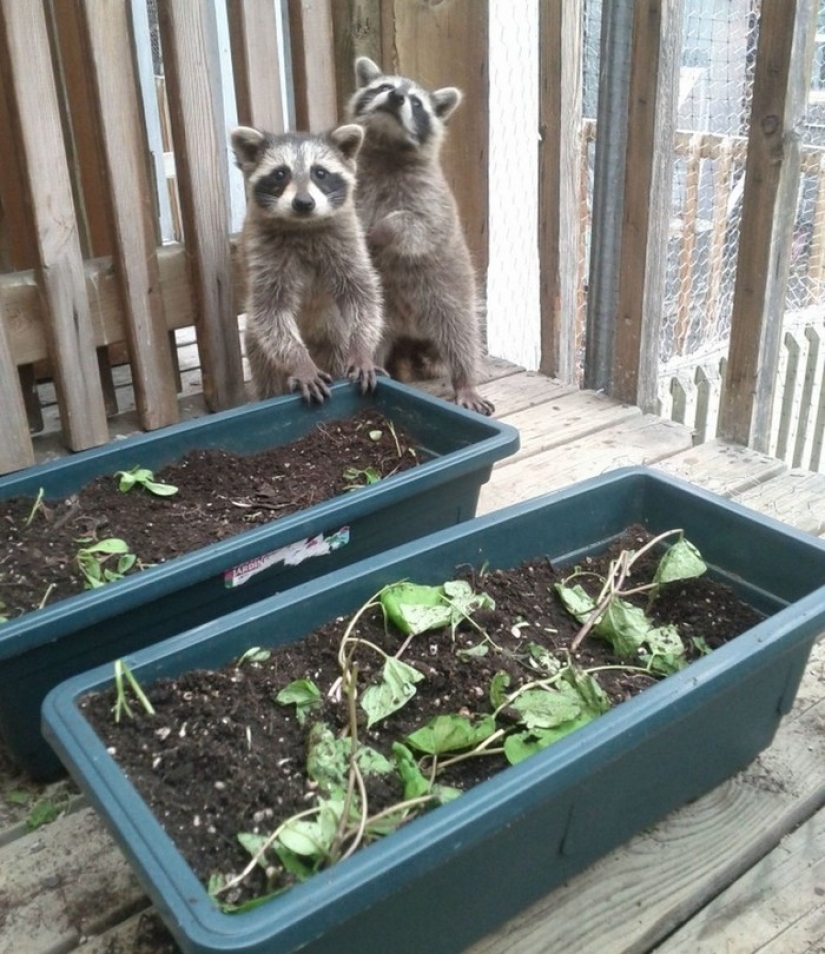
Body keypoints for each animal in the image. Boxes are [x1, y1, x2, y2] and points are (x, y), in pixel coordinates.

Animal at [230, 124, 383, 402]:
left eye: (320, 173)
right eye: (280, 174)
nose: (303, 202)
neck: (303, 225)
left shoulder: (348, 245)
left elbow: (362, 296)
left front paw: (362, 349)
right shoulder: (265, 256)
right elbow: (272, 313)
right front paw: (299, 361)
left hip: (336, 337)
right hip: (257, 347)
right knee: (266, 368)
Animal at [345, 56, 494, 416]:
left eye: (416, 103)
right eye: (384, 87)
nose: (397, 97)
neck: (387, 149)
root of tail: (412, 330)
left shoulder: (431, 199)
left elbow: (417, 226)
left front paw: (382, 230)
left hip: (448, 296)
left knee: (461, 337)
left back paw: (465, 379)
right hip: (383, 311)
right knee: (371, 329)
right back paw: (370, 357)